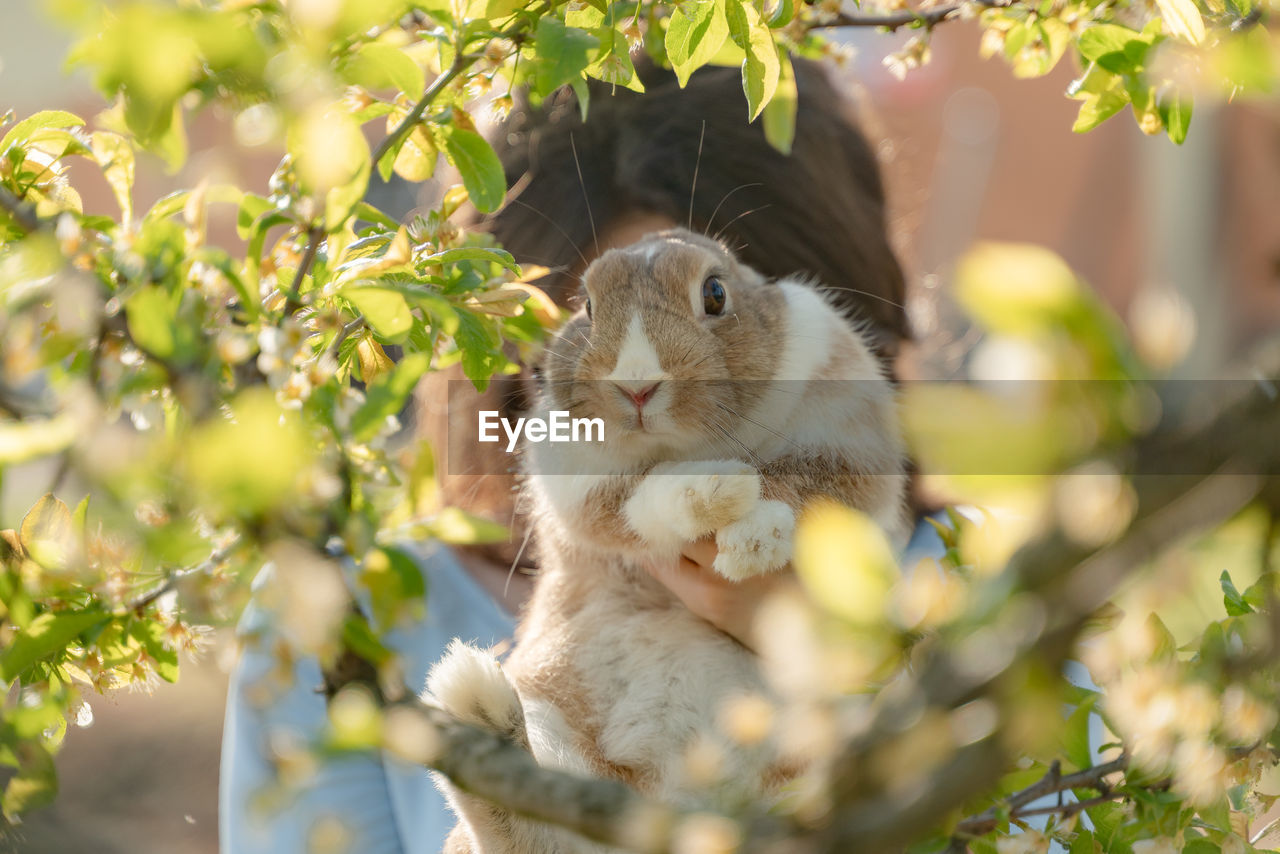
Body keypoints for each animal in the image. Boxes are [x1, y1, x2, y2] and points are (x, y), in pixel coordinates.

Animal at [424, 229, 906, 854]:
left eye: (716, 293)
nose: (636, 386)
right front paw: (714, 490)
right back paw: (475, 706)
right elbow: (642, 499)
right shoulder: (580, 484)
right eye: (586, 304)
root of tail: (681, 814)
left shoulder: (849, 447)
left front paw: (754, 541)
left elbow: (803, 489)